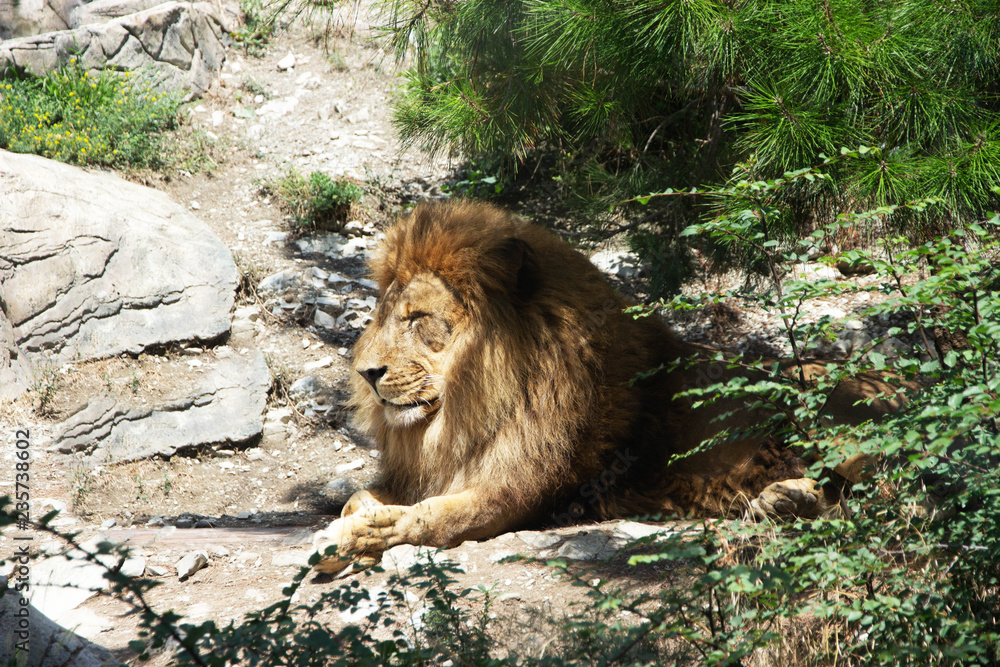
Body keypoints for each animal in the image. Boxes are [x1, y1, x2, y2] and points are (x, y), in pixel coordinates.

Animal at [311, 201, 907, 572]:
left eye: (418, 318)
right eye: (383, 315)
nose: (365, 374)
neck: (464, 411)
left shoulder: (514, 494)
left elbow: (432, 518)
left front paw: (356, 537)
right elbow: (361, 498)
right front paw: (349, 525)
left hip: (829, 406)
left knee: (888, 487)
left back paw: (790, 498)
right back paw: (781, 498)